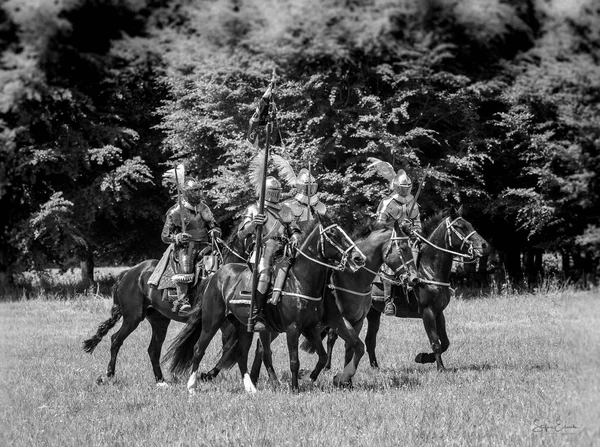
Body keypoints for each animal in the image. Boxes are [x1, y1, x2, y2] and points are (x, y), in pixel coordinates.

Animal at [81, 231, 247, 384]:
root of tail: (129, 273)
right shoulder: (222, 322)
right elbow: (229, 348)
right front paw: (207, 375)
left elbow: (232, 348)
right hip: (133, 318)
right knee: (116, 339)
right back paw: (109, 375)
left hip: (159, 320)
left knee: (153, 350)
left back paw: (161, 380)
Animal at [166, 215, 368, 394]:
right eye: (333, 233)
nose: (359, 258)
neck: (300, 280)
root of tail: (216, 276)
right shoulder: (294, 328)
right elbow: (294, 360)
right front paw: (295, 388)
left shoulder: (310, 327)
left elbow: (324, 355)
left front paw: (316, 379)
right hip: (212, 322)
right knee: (199, 349)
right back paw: (192, 386)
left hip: (244, 326)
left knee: (244, 354)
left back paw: (251, 387)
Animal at [324, 206, 488, 372]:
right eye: (460, 226)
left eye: (470, 224)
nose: (484, 245)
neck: (429, 269)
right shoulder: (427, 312)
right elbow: (435, 342)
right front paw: (439, 367)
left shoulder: (439, 312)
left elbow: (445, 342)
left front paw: (424, 358)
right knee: (332, 337)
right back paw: (326, 366)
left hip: (373, 313)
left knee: (369, 340)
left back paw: (375, 367)